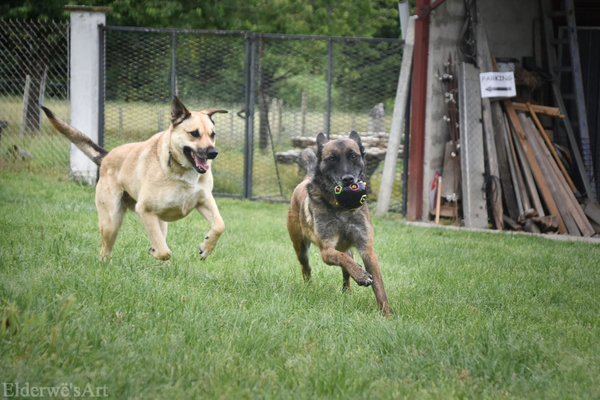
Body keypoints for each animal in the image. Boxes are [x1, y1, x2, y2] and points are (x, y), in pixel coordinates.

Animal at [42, 96, 227, 260]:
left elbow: (220, 225)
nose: (213, 152)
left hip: (160, 222)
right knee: (105, 251)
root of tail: (107, 157)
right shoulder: (145, 211)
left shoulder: (204, 200)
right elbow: (164, 252)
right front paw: (156, 252)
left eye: (213, 134)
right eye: (194, 133)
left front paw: (206, 248)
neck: (181, 169)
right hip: (111, 222)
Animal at [288, 131, 392, 316]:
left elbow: (380, 288)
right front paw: (361, 275)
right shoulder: (326, 250)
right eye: (332, 159)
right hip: (300, 248)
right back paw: (309, 287)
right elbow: (341, 258)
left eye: (353, 156)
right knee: (306, 267)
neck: (342, 209)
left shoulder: (367, 250)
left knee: (346, 271)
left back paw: (347, 292)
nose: (348, 179)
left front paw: (387, 315)